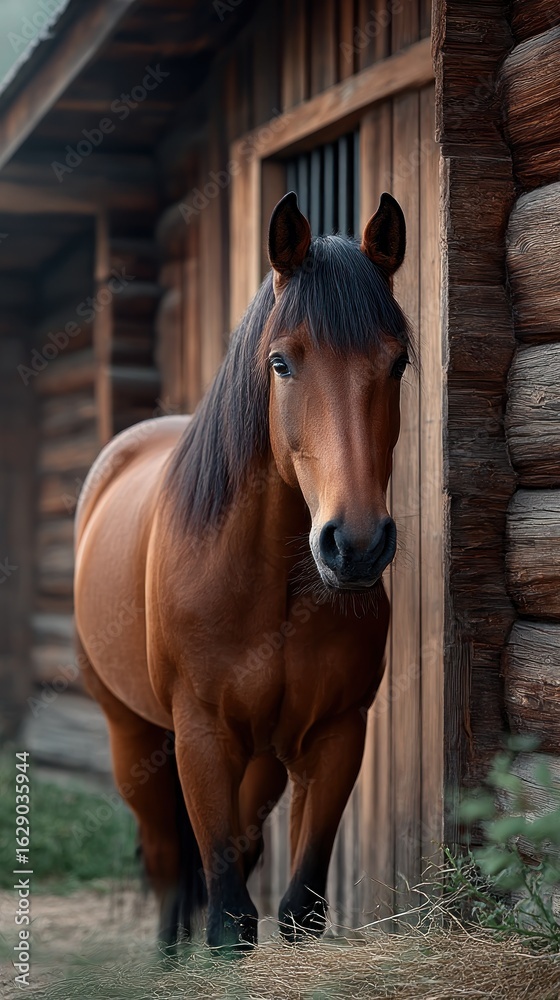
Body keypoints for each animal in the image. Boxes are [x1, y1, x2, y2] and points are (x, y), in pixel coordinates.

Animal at [74, 190, 410, 951]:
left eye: (398, 363)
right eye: (281, 363)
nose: (355, 544)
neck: (271, 580)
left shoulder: (337, 735)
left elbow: (297, 908)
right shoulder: (202, 736)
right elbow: (227, 918)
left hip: (260, 758)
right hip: (132, 737)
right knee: (169, 861)